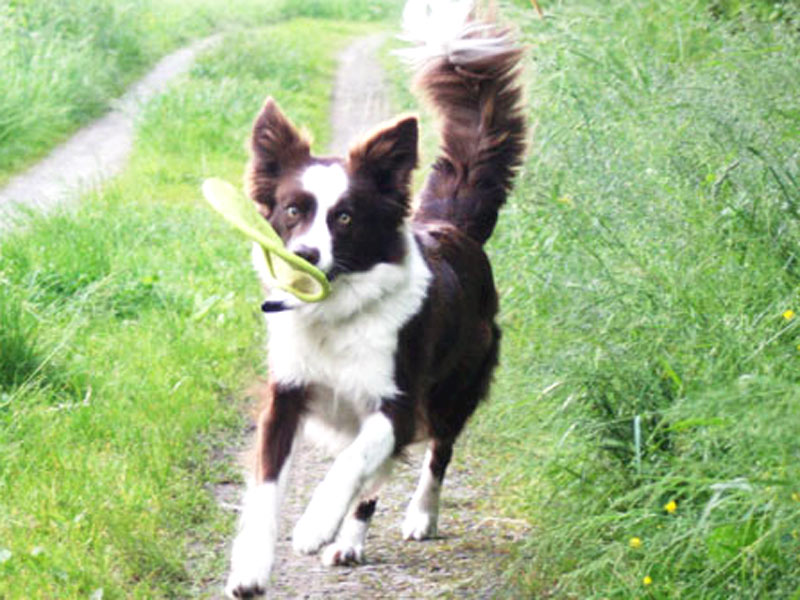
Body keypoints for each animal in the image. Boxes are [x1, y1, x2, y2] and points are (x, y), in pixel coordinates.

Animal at [225, 3, 524, 596]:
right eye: (291, 210)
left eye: (344, 217)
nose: (305, 256)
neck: (335, 313)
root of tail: (453, 228)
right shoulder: (286, 394)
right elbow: (267, 487)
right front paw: (250, 567)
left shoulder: (398, 403)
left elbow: (354, 463)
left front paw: (315, 524)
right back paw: (349, 541)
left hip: (454, 388)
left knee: (435, 454)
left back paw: (416, 517)